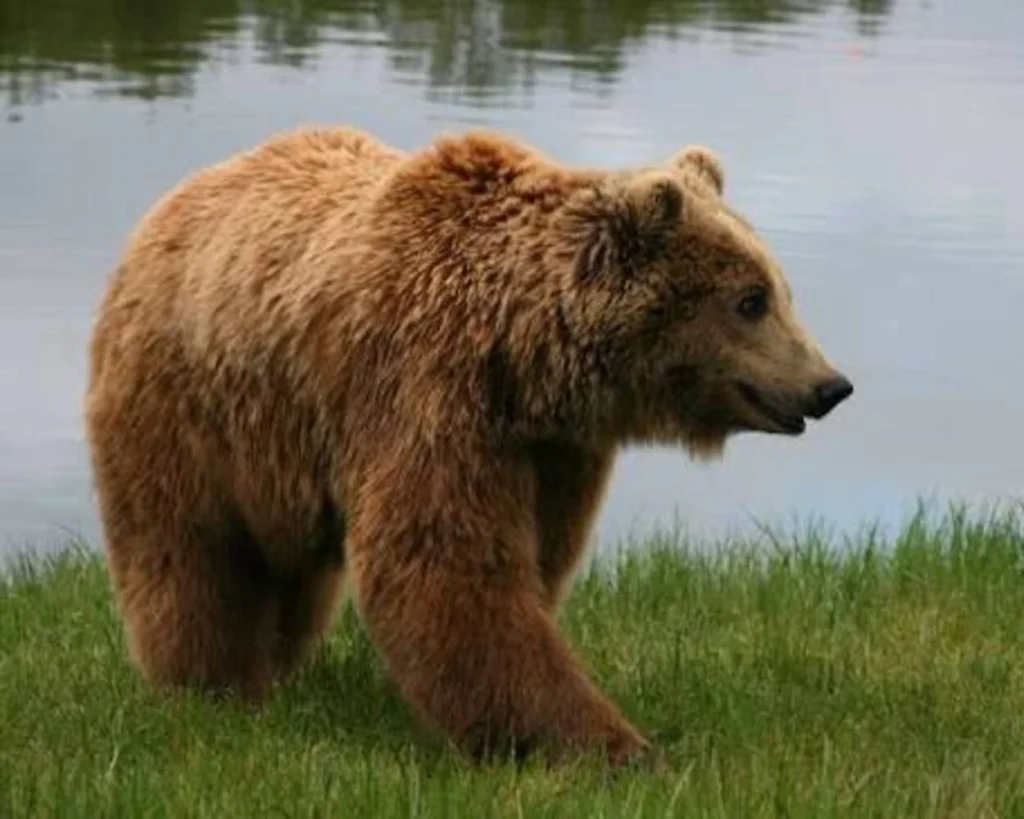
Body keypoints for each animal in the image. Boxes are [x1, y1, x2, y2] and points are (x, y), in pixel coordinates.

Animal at [84, 124, 853, 768]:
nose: (829, 385)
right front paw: (610, 746)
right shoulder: (428, 392)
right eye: (751, 299)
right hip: (189, 407)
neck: (522, 355)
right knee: (192, 551)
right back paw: (210, 684)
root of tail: (172, 202)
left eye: (779, 290)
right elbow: (449, 564)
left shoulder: (552, 451)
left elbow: (532, 560)